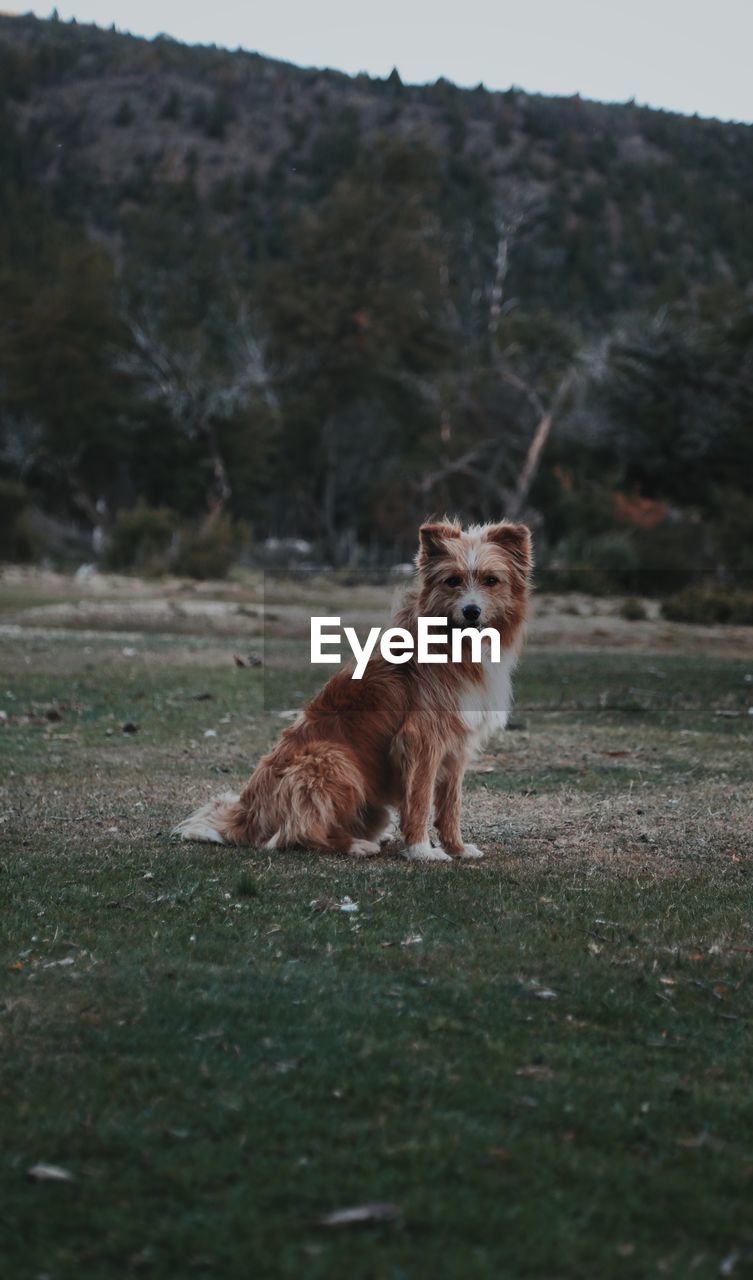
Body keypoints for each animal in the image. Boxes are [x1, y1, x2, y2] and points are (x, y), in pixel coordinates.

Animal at [174, 517, 532, 860]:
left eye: (491, 580)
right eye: (453, 580)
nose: (472, 611)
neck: (454, 644)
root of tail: (246, 815)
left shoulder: (456, 745)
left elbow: (450, 806)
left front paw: (457, 849)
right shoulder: (420, 740)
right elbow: (418, 800)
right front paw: (422, 851)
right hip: (333, 760)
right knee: (295, 834)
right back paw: (357, 846)